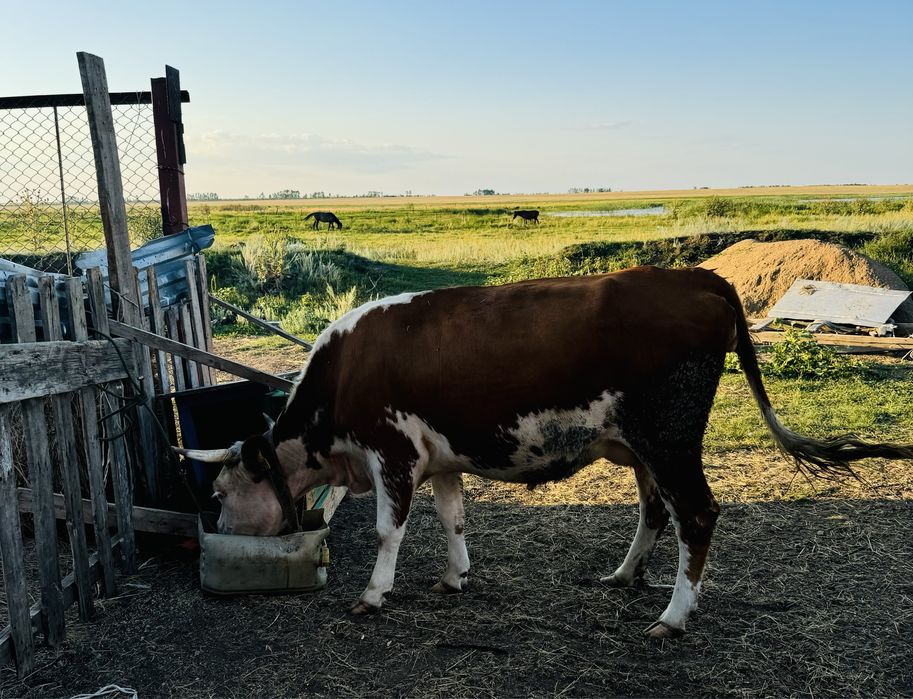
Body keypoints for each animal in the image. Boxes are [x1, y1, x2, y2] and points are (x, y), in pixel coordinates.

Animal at [177, 266, 913, 638]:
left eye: (220, 491)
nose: (215, 527)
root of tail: (698, 275)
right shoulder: (440, 457)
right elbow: (452, 517)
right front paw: (455, 576)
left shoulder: (392, 452)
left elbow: (390, 530)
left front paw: (374, 594)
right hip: (640, 444)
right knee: (655, 510)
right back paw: (624, 575)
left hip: (670, 435)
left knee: (697, 514)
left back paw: (674, 615)